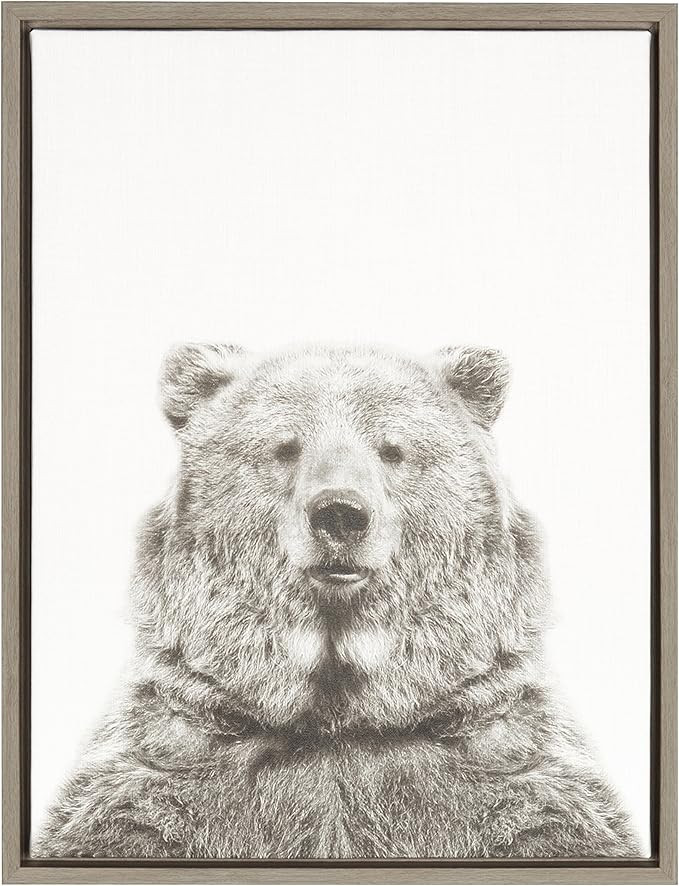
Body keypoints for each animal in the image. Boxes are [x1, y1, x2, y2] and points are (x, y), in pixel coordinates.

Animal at [34, 343, 638, 859]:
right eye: (286, 447)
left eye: (392, 449)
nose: (341, 513)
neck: (339, 716)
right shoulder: (171, 763)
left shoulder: (503, 763)